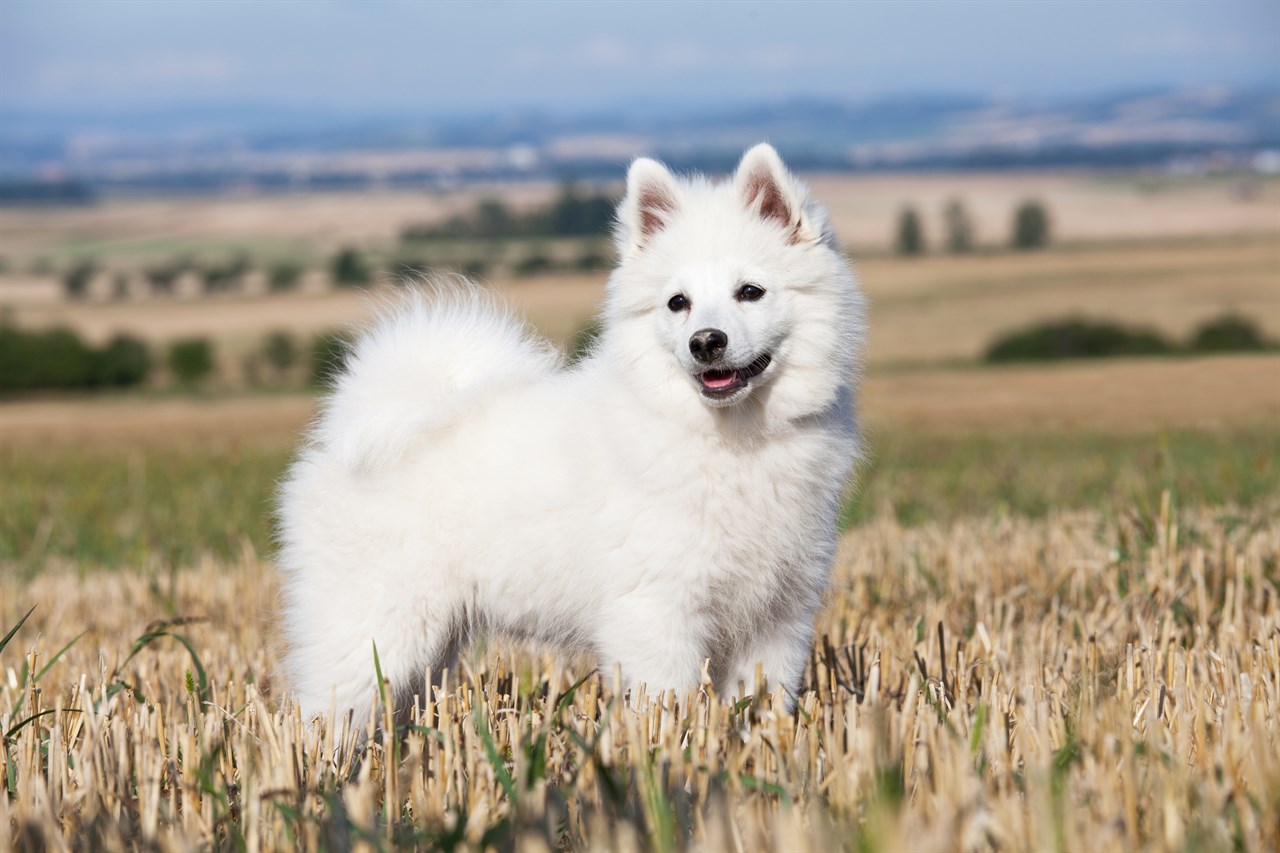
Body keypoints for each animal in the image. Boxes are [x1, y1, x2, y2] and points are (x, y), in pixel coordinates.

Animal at [277, 144, 860, 717]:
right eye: (678, 302)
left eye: (751, 292)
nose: (705, 342)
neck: (732, 438)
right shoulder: (656, 610)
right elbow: (666, 705)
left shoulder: (777, 618)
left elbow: (762, 707)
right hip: (374, 629)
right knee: (325, 712)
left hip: (431, 643)